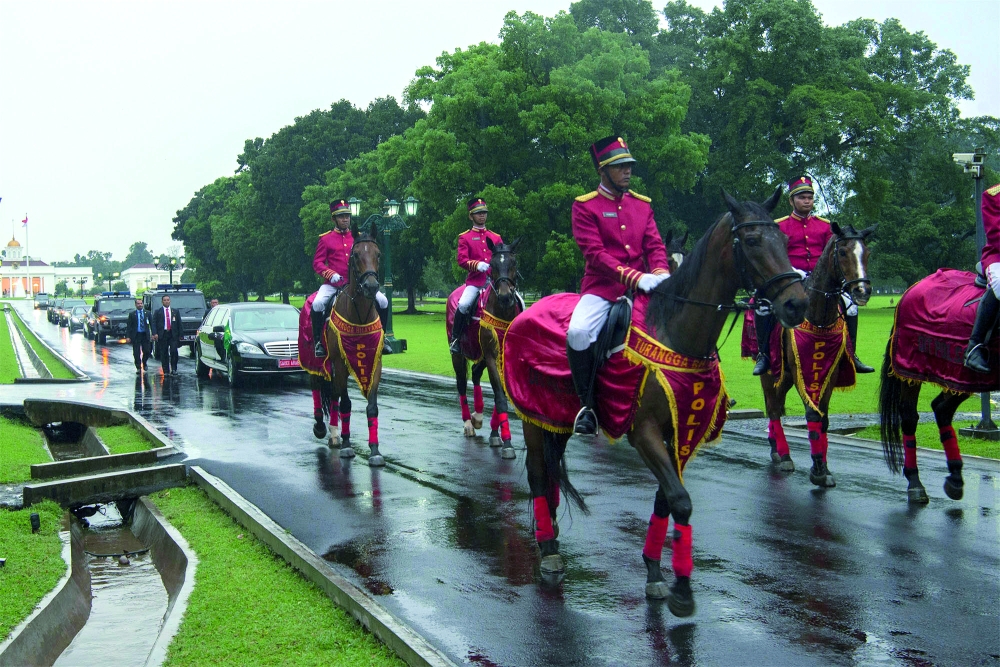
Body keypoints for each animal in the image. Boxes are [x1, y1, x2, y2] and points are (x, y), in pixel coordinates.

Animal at [296, 232, 386, 468]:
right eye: (355, 255)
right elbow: (345, 403)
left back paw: (335, 434)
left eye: (378, 254)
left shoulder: (374, 362)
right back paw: (321, 427)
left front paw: (375, 450)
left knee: (333, 393)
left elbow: (371, 407)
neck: (359, 315)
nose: (371, 287)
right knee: (317, 386)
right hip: (316, 361)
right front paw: (347, 446)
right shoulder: (340, 361)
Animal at [446, 236, 524, 460]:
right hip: (458, 354)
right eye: (493, 265)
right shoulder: (491, 354)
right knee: (462, 383)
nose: (506, 296)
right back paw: (468, 423)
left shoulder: (505, 356)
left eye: (513, 263)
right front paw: (507, 442)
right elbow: (499, 395)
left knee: (475, 372)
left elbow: (502, 393)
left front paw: (495, 432)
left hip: (479, 354)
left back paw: (478, 416)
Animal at [504, 188, 808, 616]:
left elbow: (666, 499)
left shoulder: (678, 432)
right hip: (533, 416)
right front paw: (681, 588)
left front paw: (654, 571)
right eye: (751, 241)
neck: (676, 331)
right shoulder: (644, 431)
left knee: (549, 472)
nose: (797, 304)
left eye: (783, 239)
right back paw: (548, 549)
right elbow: (680, 500)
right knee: (535, 473)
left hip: (556, 419)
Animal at [752, 224, 872, 486]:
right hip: (772, 373)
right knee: (773, 408)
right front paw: (817, 469)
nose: (862, 290)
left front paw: (824, 468)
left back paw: (776, 448)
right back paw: (784, 455)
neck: (819, 318)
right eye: (843, 252)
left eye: (866, 252)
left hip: (785, 376)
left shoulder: (830, 373)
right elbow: (811, 415)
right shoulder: (803, 372)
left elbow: (823, 418)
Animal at [880, 268, 996, 504]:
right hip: (911, 370)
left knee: (942, 408)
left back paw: (955, 476)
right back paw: (915, 483)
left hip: (960, 378)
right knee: (910, 416)